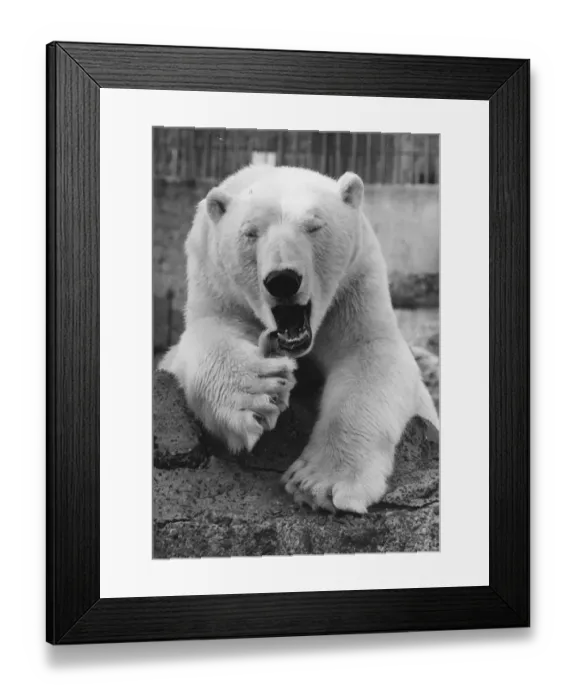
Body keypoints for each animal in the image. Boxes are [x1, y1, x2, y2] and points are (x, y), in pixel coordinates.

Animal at [159, 164, 439, 514]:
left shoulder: (354, 288)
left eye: (314, 226)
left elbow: (369, 355)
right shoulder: (217, 287)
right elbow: (206, 336)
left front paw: (319, 483)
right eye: (250, 233)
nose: (282, 280)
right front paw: (261, 393)